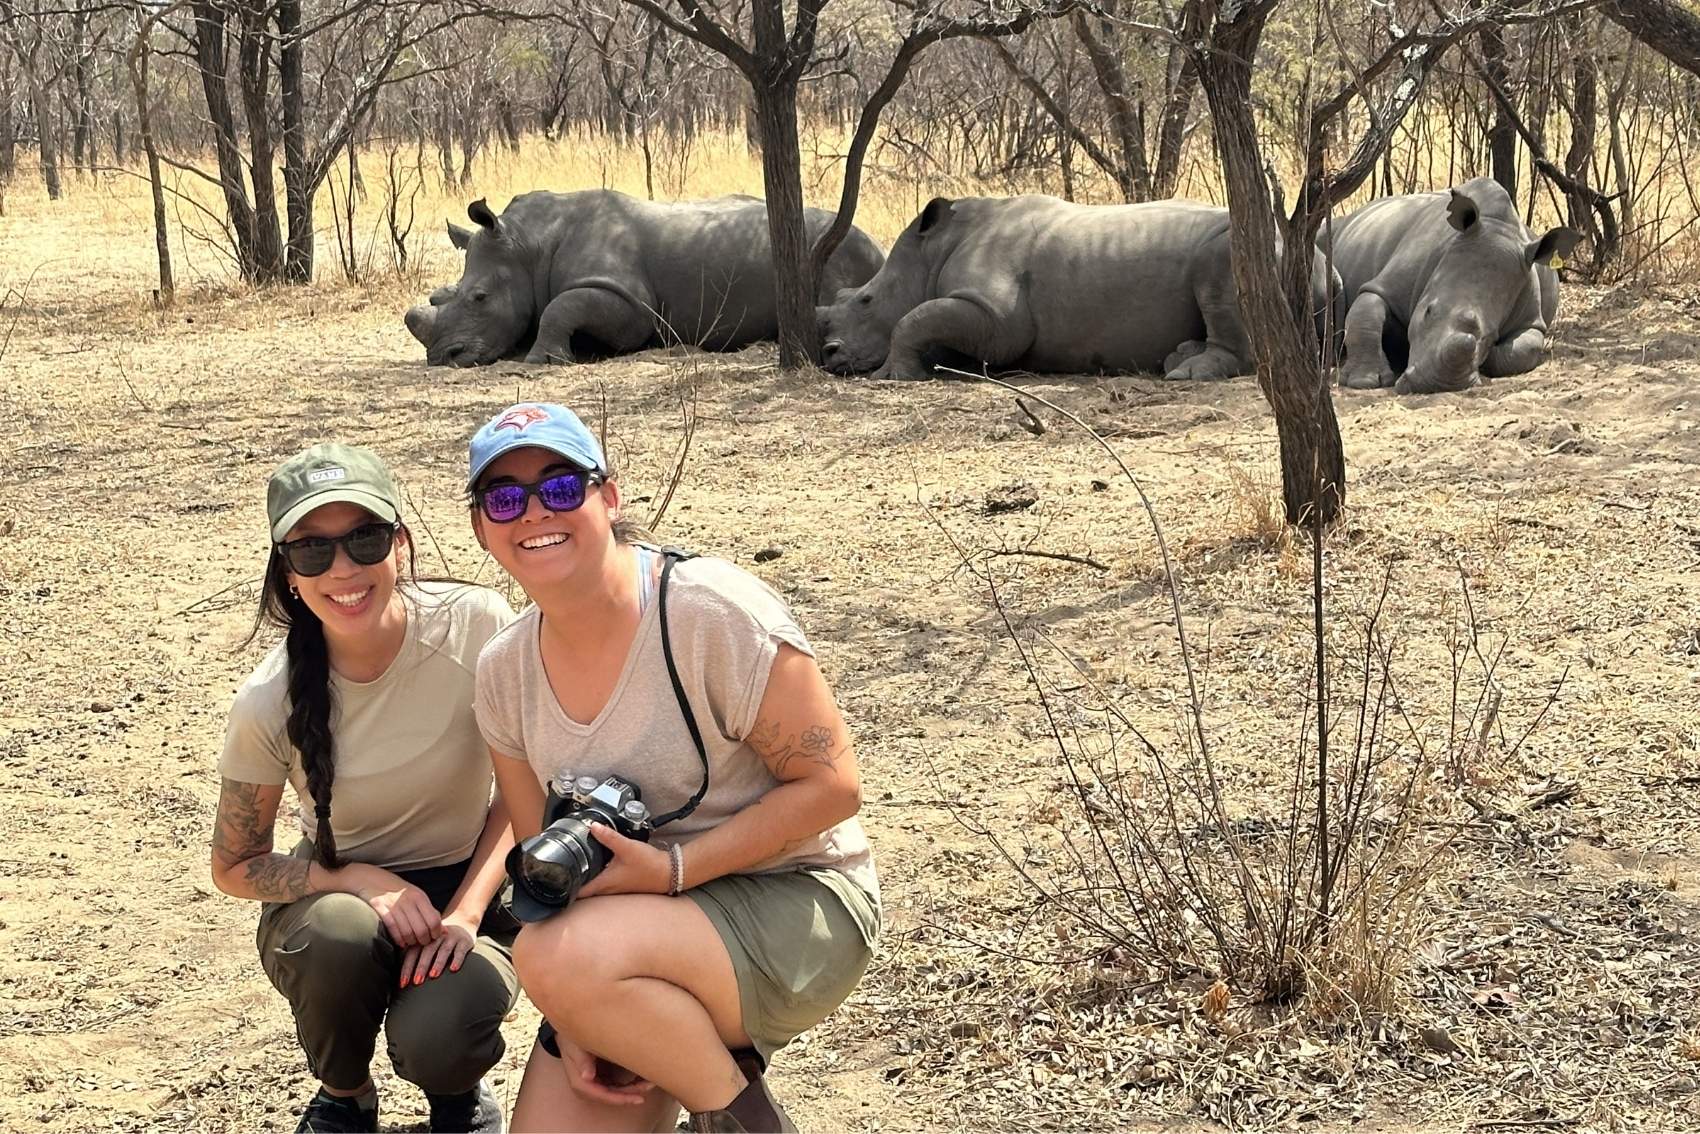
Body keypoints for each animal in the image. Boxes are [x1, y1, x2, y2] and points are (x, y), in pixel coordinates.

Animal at [409, 190, 886, 366]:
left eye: (479, 298)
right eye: (436, 298)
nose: (442, 357)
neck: (529, 245)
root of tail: (876, 245)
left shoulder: (630, 304)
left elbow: (563, 306)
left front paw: (543, 360)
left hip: (839, 253)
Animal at [815, 194, 1339, 381]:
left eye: (866, 300)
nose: (830, 354)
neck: (933, 250)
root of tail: (1323, 264)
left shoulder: (995, 316)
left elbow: (915, 317)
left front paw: (893, 377)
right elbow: (929, 322)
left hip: (1241, 249)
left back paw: (1185, 374)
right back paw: (1177, 358)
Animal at [1325, 176, 1580, 394]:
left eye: (1491, 336)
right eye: (1427, 311)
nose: (1434, 383)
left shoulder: (1531, 317)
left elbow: (1525, 349)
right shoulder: (1387, 285)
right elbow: (1366, 310)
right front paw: (1365, 382)